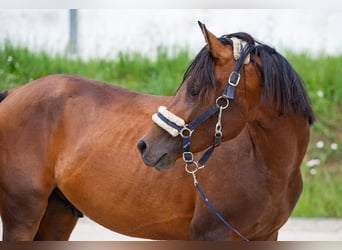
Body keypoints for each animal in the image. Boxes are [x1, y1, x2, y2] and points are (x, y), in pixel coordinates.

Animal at [0, 22, 316, 241]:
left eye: (194, 89)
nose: (145, 146)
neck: (266, 165)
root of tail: (14, 93)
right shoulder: (211, 234)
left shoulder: (266, 236)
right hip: (22, 218)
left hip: (57, 216)